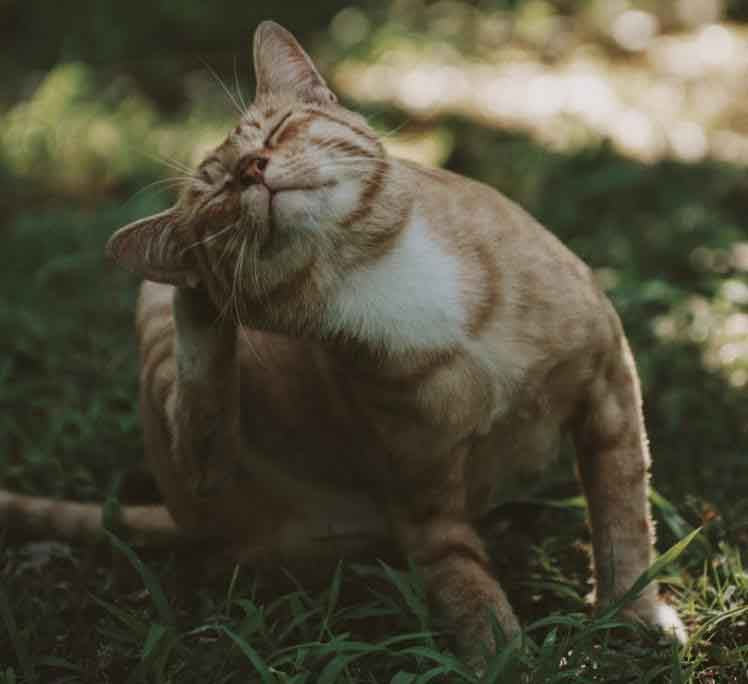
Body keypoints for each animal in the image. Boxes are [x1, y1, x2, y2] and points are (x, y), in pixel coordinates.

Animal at [2, 20, 688, 668]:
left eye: (277, 131)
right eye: (216, 197)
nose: (251, 171)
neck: (376, 271)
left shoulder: (608, 384)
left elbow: (623, 516)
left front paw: (633, 614)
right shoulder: (424, 501)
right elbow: (466, 582)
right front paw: (505, 658)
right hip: (180, 403)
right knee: (202, 431)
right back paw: (200, 298)